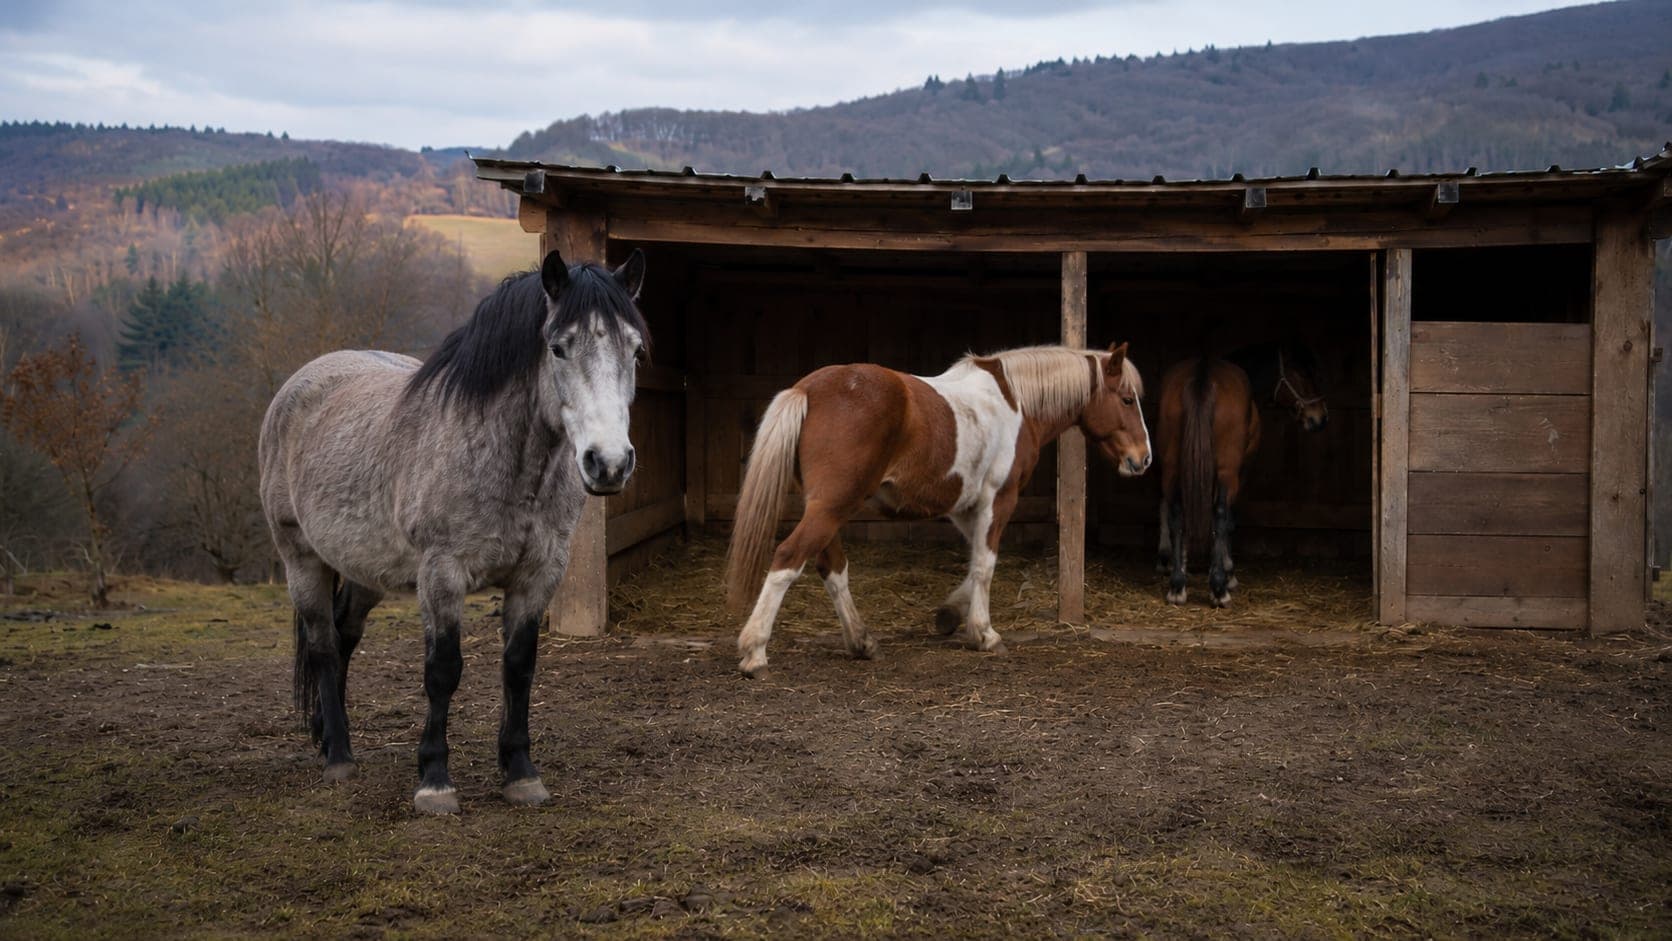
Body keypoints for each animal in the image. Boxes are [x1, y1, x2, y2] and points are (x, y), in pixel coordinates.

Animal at [258, 249, 648, 815]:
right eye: (558, 347)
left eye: (635, 350)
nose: (610, 463)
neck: (503, 459)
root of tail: (297, 386)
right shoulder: (442, 574)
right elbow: (443, 670)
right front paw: (434, 781)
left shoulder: (538, 574)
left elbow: (519, 667)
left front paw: (521, 773)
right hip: (301, 559)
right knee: (323, 644)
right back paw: (339, 759)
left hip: (366, 571)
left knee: (344, 635)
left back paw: (327, 736)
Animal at [724, 343, 1151, 677]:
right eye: (1127, 399)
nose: (1142, 459)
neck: (1015, 402)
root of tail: (806, 389)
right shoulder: (999, 498)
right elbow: (985, 564)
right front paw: (984, 634)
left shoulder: (964, 506)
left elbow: (975, 561)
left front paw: (950, 613)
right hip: (831, 507)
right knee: (788, 558)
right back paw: (755, 652)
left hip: (826, 509)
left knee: (832, 568)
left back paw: (861, 642)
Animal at [1155, 340, 1328, 607]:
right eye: (1303, 374)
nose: (1319, 417)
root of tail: (1202, 374)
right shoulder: (1241, 471)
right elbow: (1228, 520)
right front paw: (1228, 573)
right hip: (1227, 470)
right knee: (1220, 514)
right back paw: (1218, 589)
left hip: (1172, 465)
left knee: (1174, 511)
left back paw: (1177, 584)